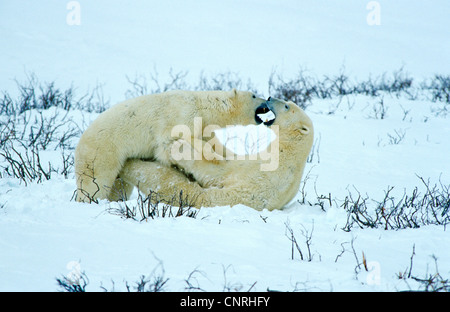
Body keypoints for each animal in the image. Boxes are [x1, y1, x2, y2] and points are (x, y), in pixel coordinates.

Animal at [75, 89, 268, 202]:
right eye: (253, 95)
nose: (267, 100)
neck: (202, 106)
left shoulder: (203, 126)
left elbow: (212, 142)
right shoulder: (181, 115)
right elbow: (169, 143)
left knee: (119, 185)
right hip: (103, 150)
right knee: (96, 180)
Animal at [118, 96, 312, 211]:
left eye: (286, 106)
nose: (271, 97)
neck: (287, 151)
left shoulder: (259, 170)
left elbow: (217, 171)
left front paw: (179, 148)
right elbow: (225, 155)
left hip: (201, 197)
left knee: (166, 181)